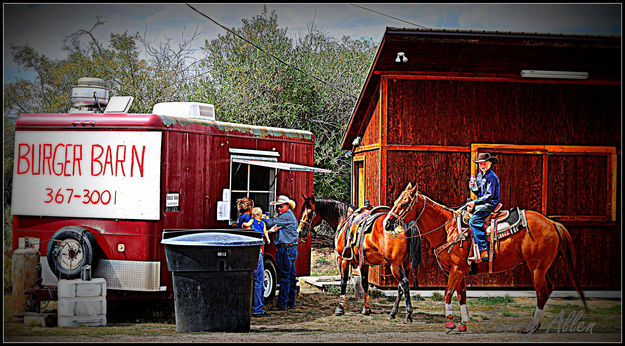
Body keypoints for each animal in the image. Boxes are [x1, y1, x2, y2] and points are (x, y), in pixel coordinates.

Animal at [296, 188, 422, 324]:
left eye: (309, 213)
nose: (300, 231)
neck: (344, 219)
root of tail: (404, 223)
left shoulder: (342, 259)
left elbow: (343, 282)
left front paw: (340, 308)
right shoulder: (364, 263)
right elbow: (365, 283)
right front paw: (366, 308)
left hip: (395, 265)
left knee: (404, 283)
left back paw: (408, 314)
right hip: (405, 263)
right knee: (401, 286)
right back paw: (393, 313)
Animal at [380, 184, 588, 332]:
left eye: (404, 203)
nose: (387, 223)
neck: (447, 228)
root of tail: (552, 223)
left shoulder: (456, 270)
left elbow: (448, 294)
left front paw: (450, 323)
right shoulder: (460, 271)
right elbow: (462, 295)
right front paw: (464, 322)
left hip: (536, 267)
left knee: (542, 292)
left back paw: (532, 326)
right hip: (543, 267)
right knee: (549, 288)